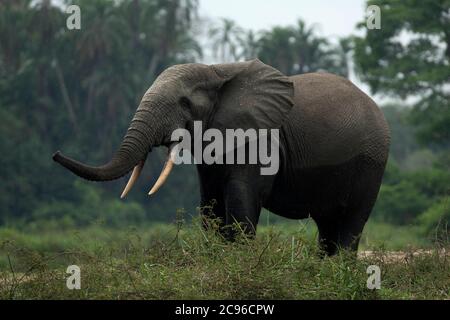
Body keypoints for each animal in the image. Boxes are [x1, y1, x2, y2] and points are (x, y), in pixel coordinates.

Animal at [53, 59, 390, 255]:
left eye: (184, 103)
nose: (55, 153)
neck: (218, 69)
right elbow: (210, 203)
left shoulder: (260, 138)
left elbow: (242, 198)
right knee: (327, 225)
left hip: (372, 163)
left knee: (350, 223)